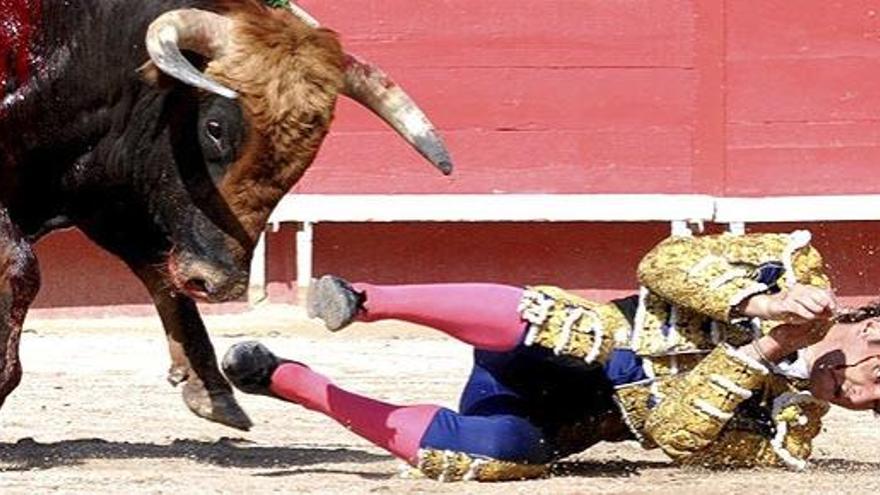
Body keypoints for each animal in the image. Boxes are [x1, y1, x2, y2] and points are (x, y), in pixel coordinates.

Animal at [0, 0, 454, 430]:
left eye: (304, 158)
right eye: (215, 127)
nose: (219, 282)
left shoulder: (108, 199)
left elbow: (158, 267)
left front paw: (211, 391)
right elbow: (23, 267)